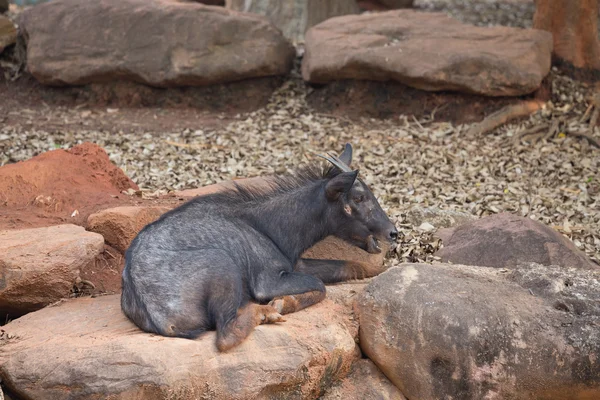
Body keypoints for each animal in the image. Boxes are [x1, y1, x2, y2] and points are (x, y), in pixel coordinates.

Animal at [121, 144, 398, 350]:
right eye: (358, 197)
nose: (393, 232)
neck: (269, 225)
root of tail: (161, 318)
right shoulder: (269, 281)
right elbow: (320, 286)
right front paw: (283, 304)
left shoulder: (296, 263)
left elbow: (348, 265)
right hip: (223, 264)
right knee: (226, 336)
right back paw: (266, 312)